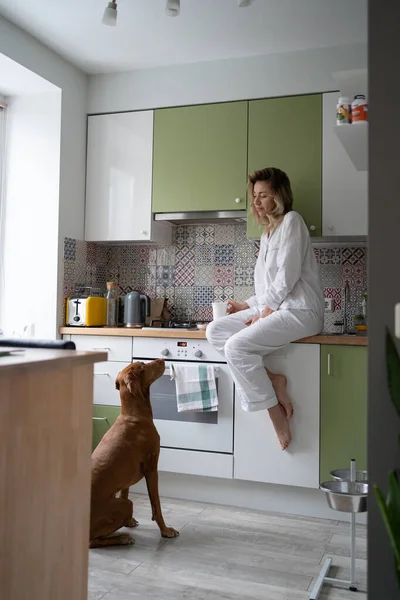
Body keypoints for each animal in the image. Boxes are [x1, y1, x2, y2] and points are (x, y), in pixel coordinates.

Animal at [90, 356, 180, 548]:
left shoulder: (127, 477)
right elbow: (156, 506)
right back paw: (123, 538)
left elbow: (125, 489)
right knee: (92, 541)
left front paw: (129, 522)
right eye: (143, 365)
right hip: (125, 504)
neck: (134, 415)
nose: (162, 359)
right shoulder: (152, 469)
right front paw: (166, 531)